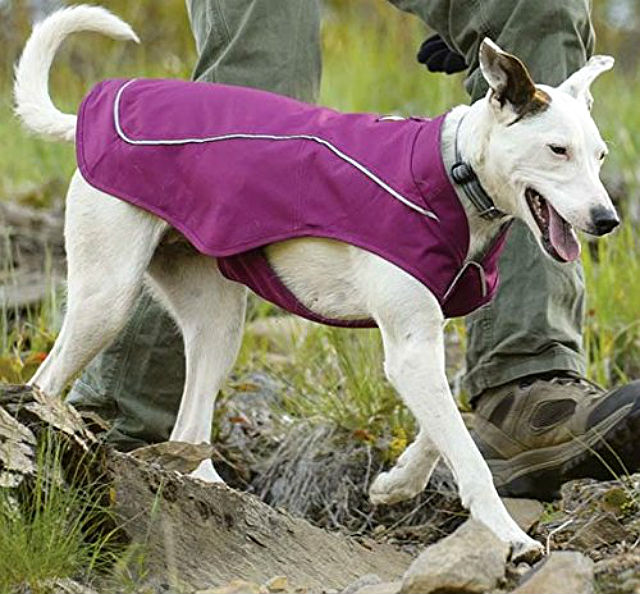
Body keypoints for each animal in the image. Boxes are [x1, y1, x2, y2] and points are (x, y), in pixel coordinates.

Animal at [13, 5, 620, 560]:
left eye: (600, 155)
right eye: (557, 150)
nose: (606, 219)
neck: (455, 174)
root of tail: (95, 108)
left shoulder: (426, 339)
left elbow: (449, 423)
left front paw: (399, 481)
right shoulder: (409, 349)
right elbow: (468, 455)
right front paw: (511, 537)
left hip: (217, 322)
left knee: (188, 427)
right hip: (106, 299)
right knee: (47, 380)